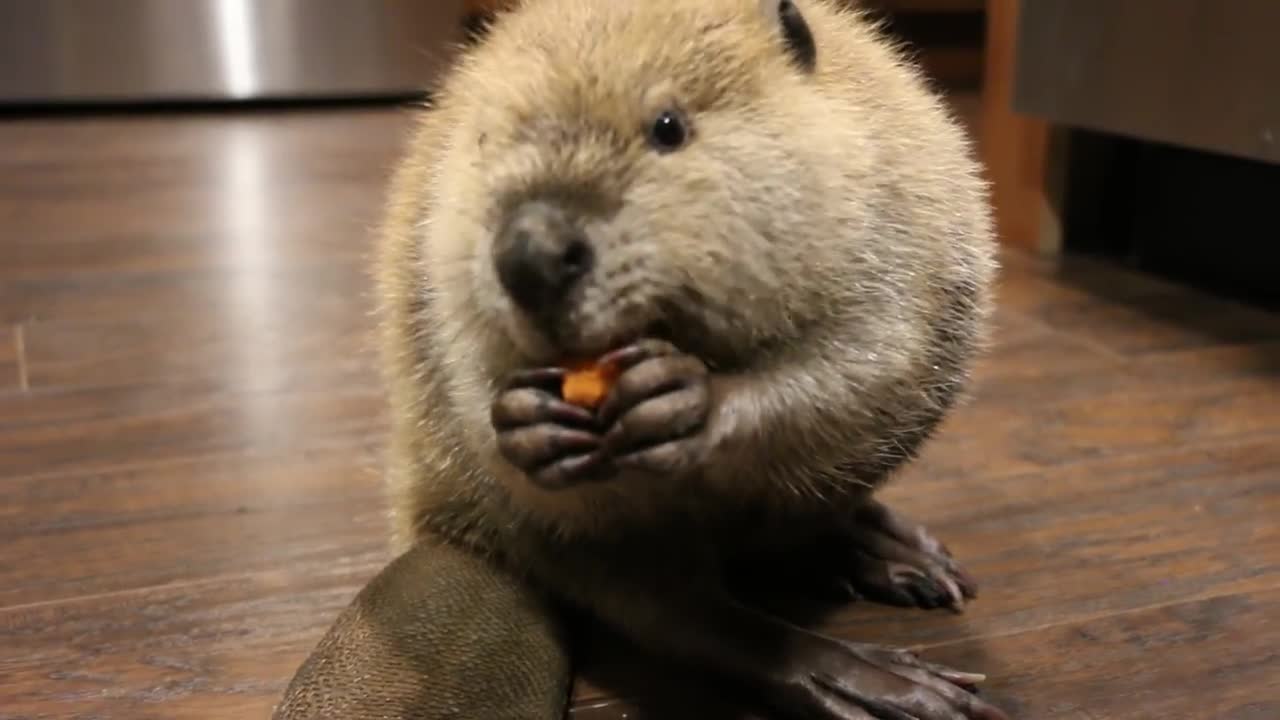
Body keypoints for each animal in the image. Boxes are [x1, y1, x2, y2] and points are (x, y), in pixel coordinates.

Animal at [272, 0, 1008, 712]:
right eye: (482, 143)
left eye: (668, 126)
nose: (530, 254)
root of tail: (446, 541)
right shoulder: (435, 264)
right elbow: (470, 388)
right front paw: (527, 421)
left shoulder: (891, 207)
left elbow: (873, 353)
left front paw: (683, 399)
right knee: (690, 616)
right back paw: (874, 674)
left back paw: (905, 560)